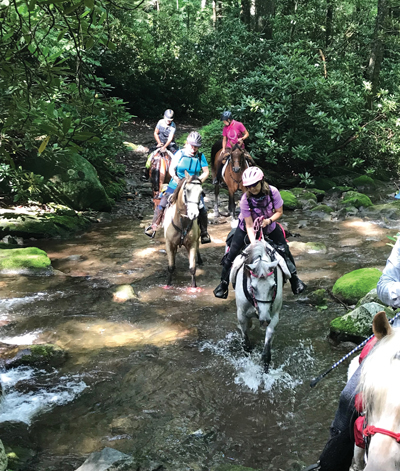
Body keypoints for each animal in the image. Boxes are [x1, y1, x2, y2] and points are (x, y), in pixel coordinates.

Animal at [231, 242, 284, 374]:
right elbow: (246, 346)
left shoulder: (273, 317)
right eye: (253, 287)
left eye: (273, 286)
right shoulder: (241, 315)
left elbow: (266, 353)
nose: (264, 320)